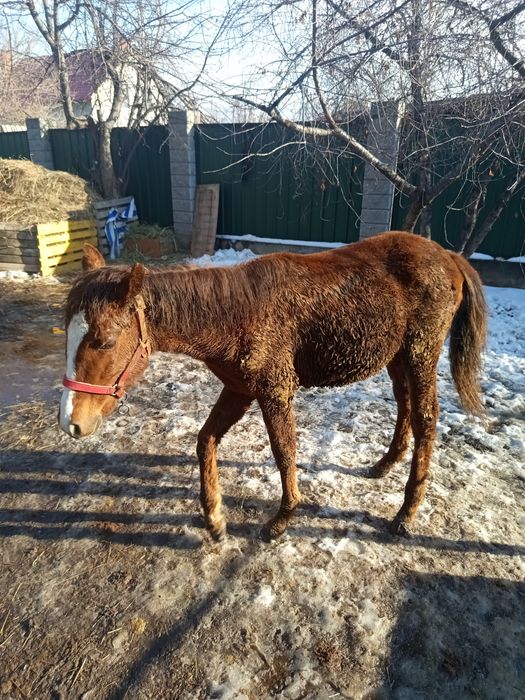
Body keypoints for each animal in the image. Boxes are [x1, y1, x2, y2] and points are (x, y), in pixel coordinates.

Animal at [59, 232, 487, 540]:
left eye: (104, 341)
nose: (71, 422)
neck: (235, 315)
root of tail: (448, 256)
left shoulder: (274, 391)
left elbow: (284, 451)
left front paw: (282, 519)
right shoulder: (239, 390)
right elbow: (205, 441)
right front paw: (214, 519)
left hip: (420, 354)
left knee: (426, 419)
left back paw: (406, 514)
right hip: (398, 358)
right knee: (404, 406)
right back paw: (383, 466)